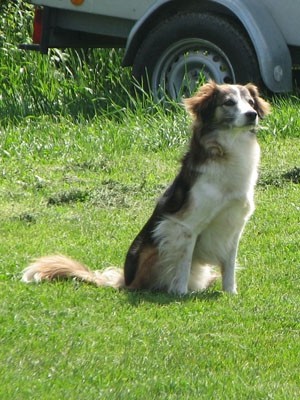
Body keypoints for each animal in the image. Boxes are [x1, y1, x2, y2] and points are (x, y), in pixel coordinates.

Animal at [21, 82, 270, 294]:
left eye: (250, 102)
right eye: (228, 102)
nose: (252, 114)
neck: (230, 148)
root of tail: (124, 280)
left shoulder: (233, 225)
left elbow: (229, 266)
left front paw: (230, 293)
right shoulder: (182, 226)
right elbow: (182, 265)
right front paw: (180, 294)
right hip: (153, 248)